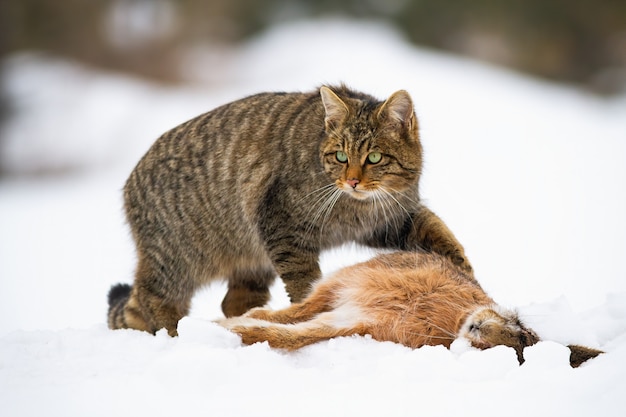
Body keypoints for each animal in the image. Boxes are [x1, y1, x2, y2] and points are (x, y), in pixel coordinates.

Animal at [108, 84, 468, 334]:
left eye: (374, 157)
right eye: (341, 156)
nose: (352, 181)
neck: (356, 207)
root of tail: (129, 183)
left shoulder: (393, 218)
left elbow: (441, 232)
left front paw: (463, 272)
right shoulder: (283, 227)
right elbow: (304, 283)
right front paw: (309, 309)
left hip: (252, 261)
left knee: (230, 301)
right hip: (178, 260)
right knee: (152, 299)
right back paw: (174, 334)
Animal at [218, 249, 600, 366]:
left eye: (514, 351)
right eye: (522, 332)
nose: (479, 329)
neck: (456, 319)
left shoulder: (354, 318)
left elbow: (294, 336)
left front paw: (235, 330)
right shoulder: (348, 287)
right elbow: (293, 315)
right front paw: (228, 325)